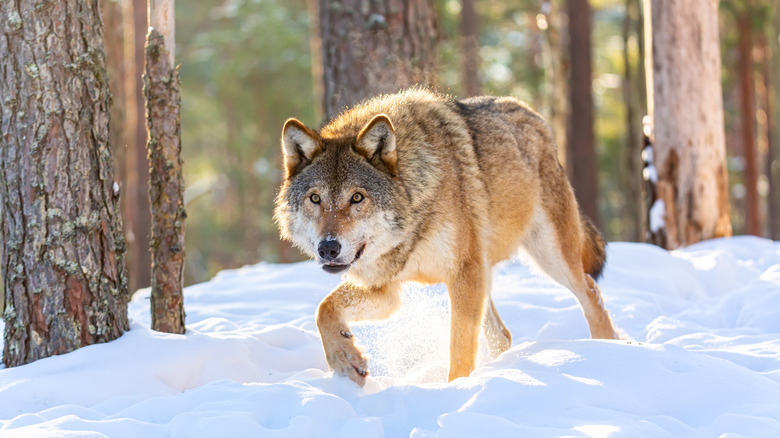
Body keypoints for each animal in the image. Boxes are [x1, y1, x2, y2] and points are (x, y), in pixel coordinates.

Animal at [278, 87, 620, 384]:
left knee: (590, 291)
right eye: (315, 199)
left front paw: (455, 390)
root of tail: (533, 114)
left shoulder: (463, 275)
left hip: (548, 257)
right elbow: (324, 309)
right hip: (488, 273)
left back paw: (608, 353)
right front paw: (345, 360)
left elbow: (459, 351)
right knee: (503, 335)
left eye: (357, 198)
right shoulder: (385, 290)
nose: (328, 248)